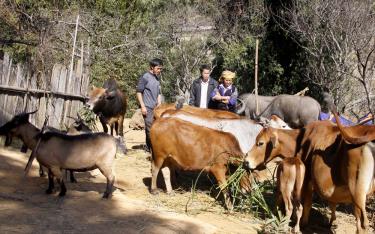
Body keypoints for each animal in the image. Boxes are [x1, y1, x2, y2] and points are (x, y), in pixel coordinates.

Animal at [245, 120, 374, 234]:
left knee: (363, 224)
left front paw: (302, 223)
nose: (246, 161)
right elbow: (327, 205)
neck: (300, 140)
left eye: (260, 143)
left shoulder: (307, 180)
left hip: (357, 191)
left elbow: (306, 203)